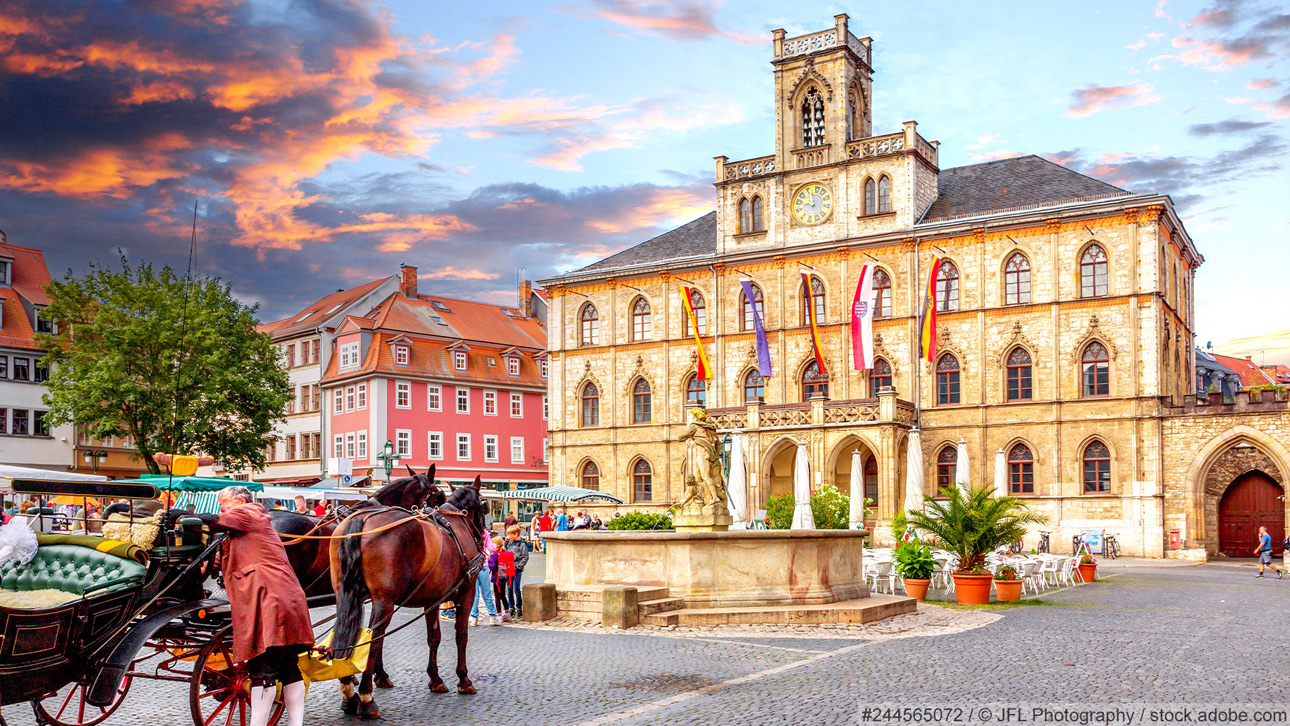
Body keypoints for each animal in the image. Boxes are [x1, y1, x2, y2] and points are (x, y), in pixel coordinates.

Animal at [330, 474, 490, 716]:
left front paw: (435, 679)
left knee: (347, 630)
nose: (483, 535)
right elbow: (461, 636)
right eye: (485, 506)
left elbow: (434, 637)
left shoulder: (433, 599)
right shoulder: (467, 592)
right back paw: (366, 696)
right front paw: (464, 679)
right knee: (374, 636)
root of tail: (361, 520)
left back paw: (348, 689)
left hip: (345, 595)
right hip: (384, 601)